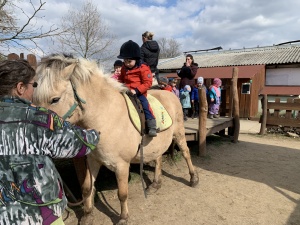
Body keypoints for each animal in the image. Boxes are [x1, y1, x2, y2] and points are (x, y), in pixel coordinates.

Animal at [33, 54, 199, 225]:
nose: (36, 133)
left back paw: (193, 179)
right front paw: (87, 215)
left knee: (186, 153)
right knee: (158, 157)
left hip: (179, 133)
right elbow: (87, 187)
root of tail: (171, 94)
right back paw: (155, 184)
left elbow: (122, 193)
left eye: (55, 99)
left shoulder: (121, 165)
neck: (106, 116)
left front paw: (123, 217)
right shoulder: (93, 160)